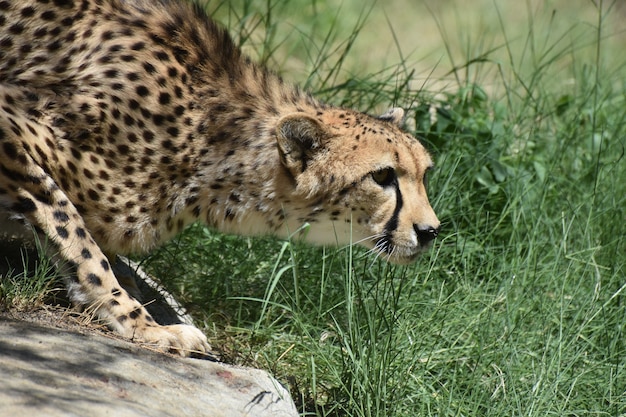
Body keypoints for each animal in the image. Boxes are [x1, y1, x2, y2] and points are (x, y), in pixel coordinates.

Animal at [0, 0, 438, 356]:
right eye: (382, 175)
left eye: (424, 172)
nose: (431, 231)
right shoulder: (12, 124)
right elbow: (76, 236)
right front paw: (140, 323)